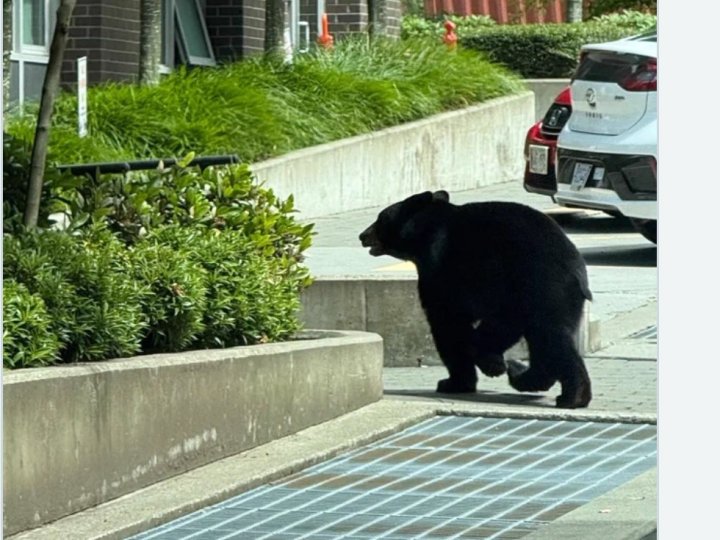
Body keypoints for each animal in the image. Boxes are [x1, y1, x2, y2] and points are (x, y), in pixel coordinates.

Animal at [359, 190, 592, 409]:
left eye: (381, 218)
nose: (362, 235)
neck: (425, 234)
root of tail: (576, 271)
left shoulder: (441, 270)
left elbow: (448, 323)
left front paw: (458, 380)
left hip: (543, 286)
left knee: (550, 337)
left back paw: (570, 395)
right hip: (563, 299)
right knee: (547, 338)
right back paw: (534, 378)